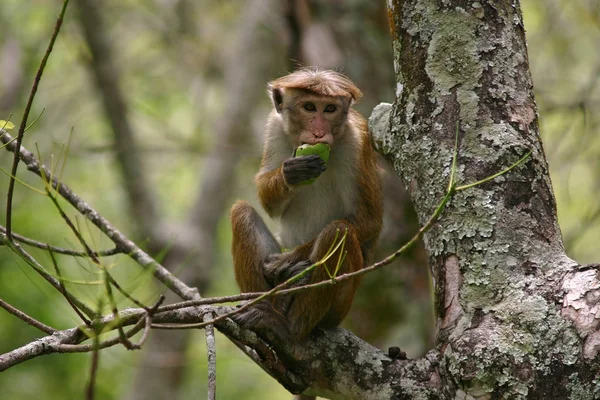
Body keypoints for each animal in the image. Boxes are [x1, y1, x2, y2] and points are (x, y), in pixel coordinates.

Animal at [230, 68, 384, 340]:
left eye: (330, 109)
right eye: (310, 107)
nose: (319, 133)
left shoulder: (357, 141)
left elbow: (370, 220)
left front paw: (284, 262)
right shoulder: (274, 126)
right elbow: (268, 203)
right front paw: (290, 174)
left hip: (340, 306)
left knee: (339, 231)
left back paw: (287, 327)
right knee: (242, 213)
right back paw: (263, 308)